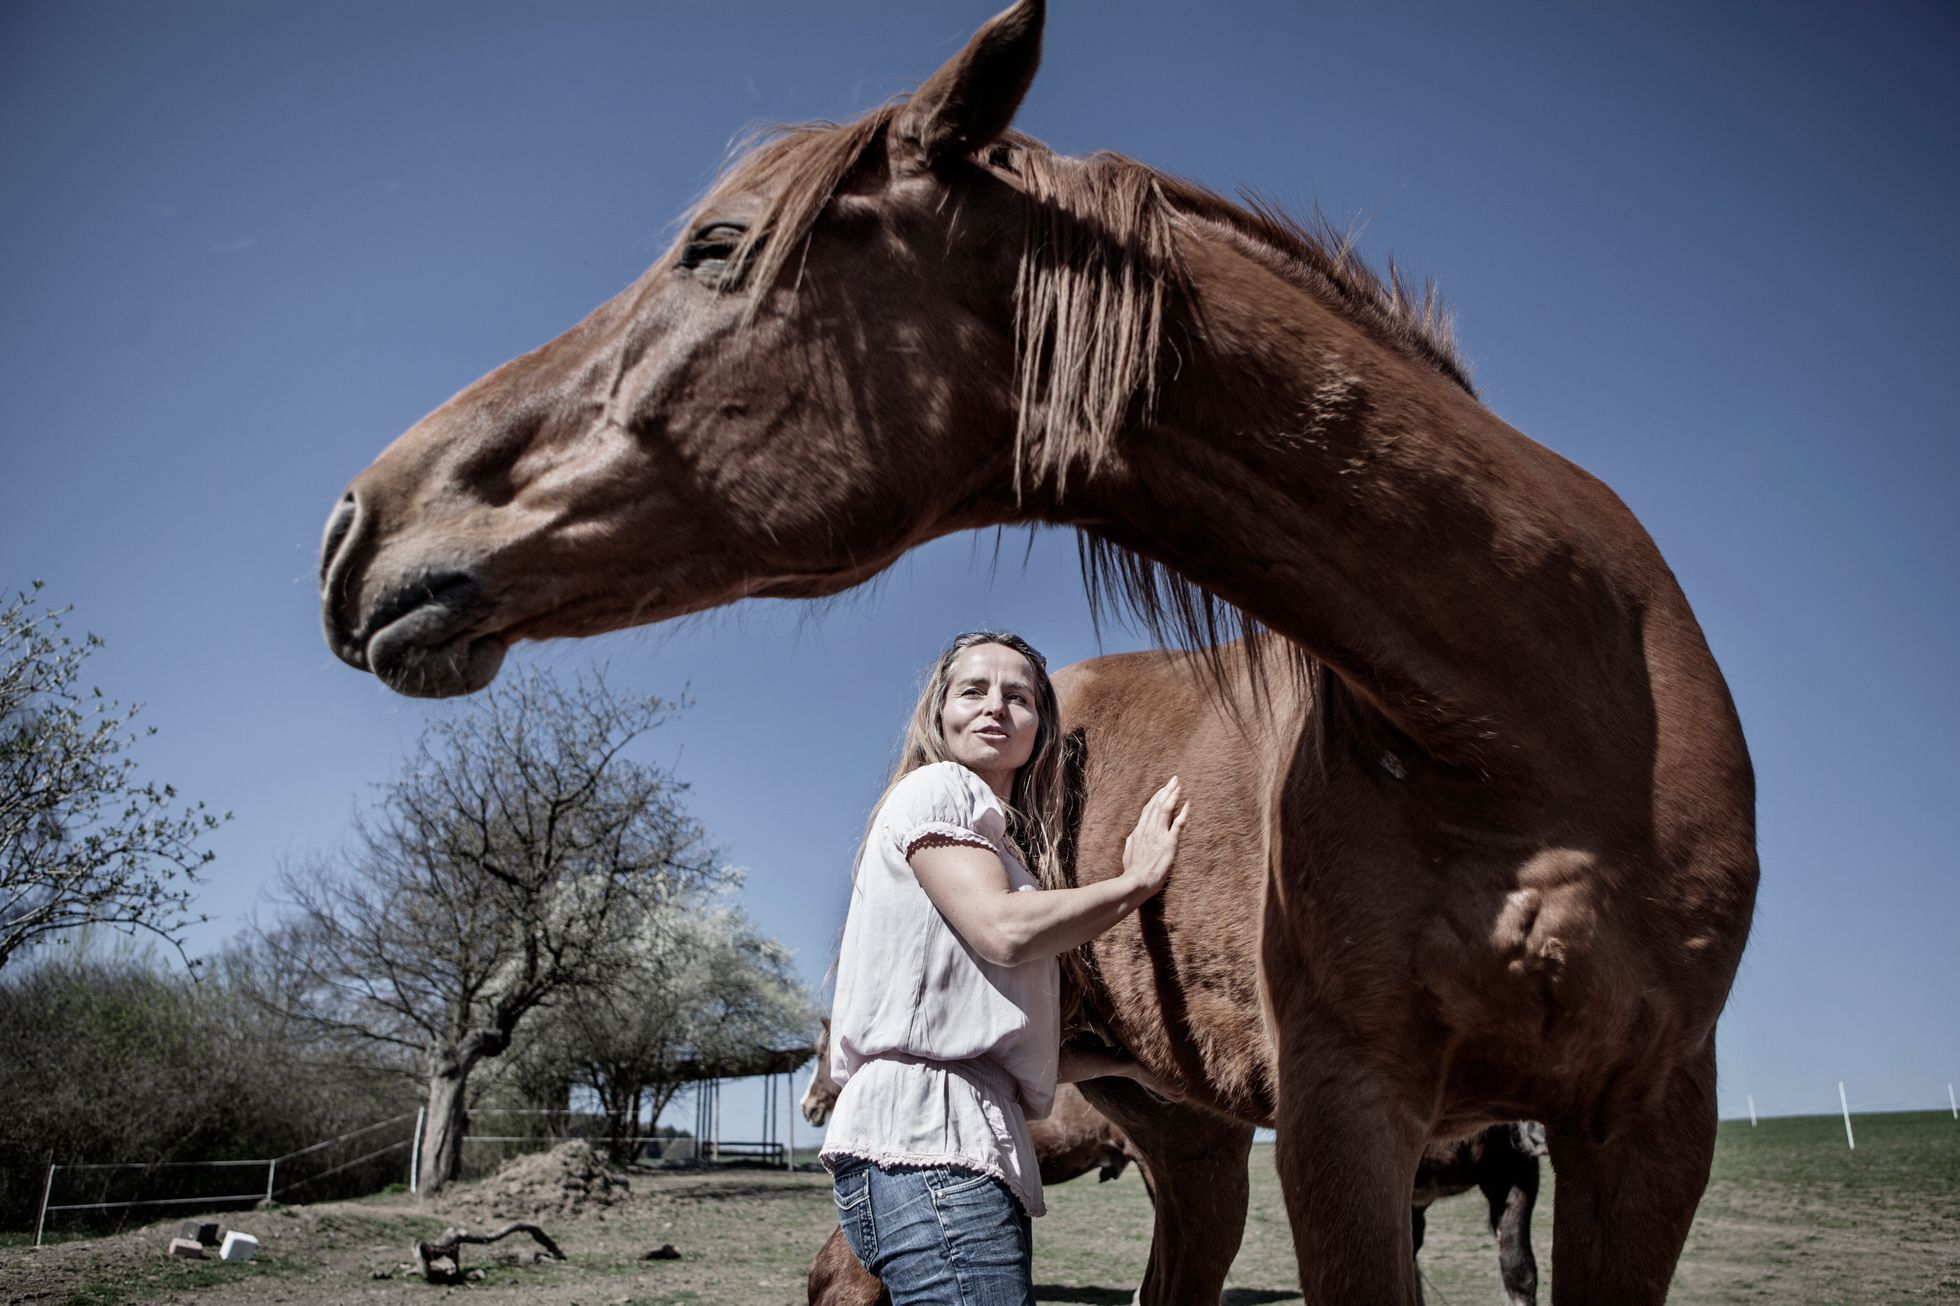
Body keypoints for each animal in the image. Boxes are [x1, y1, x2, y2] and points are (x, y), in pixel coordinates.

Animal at [313, 5, 1756, 1294]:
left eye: (717, 248)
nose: (356, 527)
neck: (1535, 718)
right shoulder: (1349, 1117)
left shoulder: (1651, 1125)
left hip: (1193, 1143)